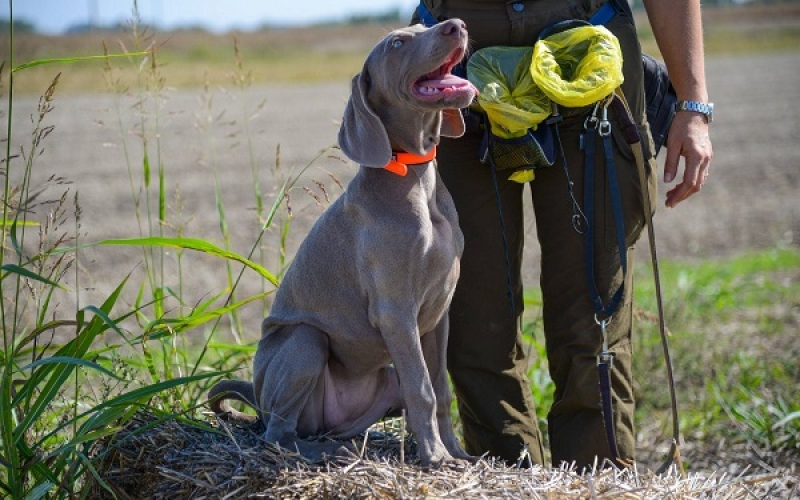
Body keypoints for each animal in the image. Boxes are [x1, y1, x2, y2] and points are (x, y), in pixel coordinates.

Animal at [209, 18, 478, 464]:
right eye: (397, 43)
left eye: (420, 26)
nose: (456, 25)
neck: (414, 176)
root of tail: (258, 400)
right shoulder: (395, 310)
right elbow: (422, 387)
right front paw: (435, 457)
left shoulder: (440, 311)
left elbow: (439, 388)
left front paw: (456, 454)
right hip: (304, 341)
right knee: (278, 433)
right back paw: (328, 452)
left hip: (378, 383)